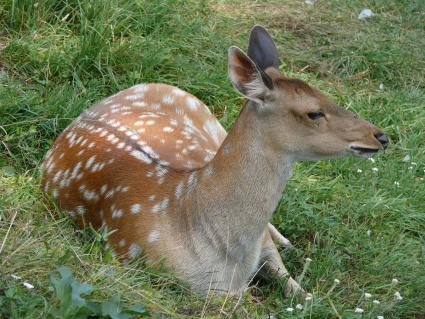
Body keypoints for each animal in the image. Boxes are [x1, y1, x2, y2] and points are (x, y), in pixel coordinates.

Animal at [41, 26, 390, 298]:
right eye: (314, 112)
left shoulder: (262, 248)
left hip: (210, 123)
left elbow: (301, 292)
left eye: (328, 95)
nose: (381, 136)